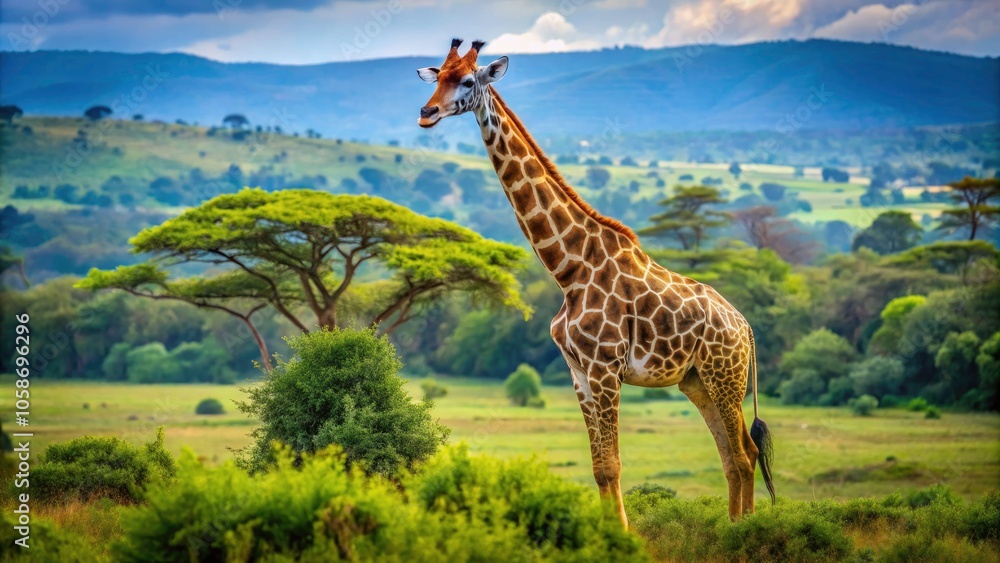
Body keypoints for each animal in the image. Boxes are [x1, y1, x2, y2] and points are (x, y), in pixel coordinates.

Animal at [416, 39, 775, 526]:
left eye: (469, 80)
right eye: (437, 76)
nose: (426, 112)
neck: (568, 270)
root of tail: (746, 328)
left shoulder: (605, 368)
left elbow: (613, 464)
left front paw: (623, 535)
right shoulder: (578, 372)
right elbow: (599, 468)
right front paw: (609, 532)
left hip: (726, 376)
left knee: (743, 453)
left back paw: (742, 530)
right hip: (697, 381)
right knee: (734, 453)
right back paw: (734, 524)